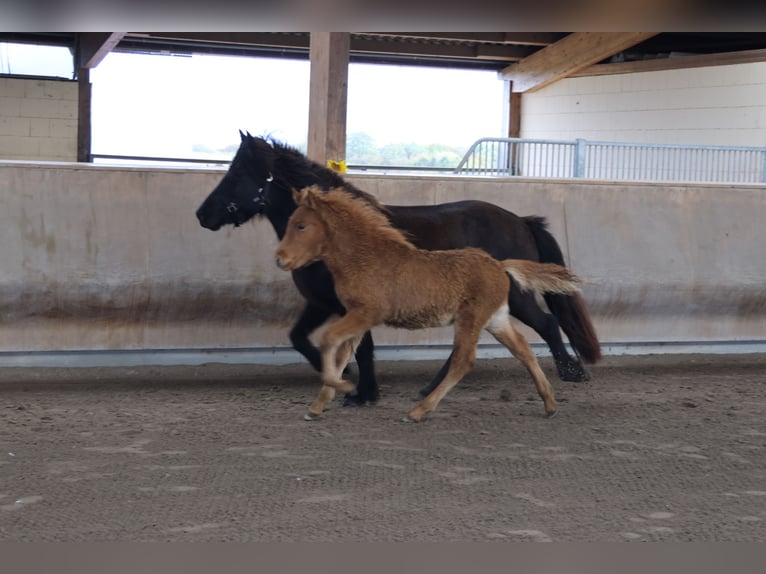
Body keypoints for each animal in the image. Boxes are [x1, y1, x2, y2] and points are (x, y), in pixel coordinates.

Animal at [195, 133, 604, 408]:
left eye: (236, 173)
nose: (202, 214)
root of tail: (520, 220)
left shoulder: (354, 305)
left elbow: (361, 348)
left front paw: (361, 392)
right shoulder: (321, 302)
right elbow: (299, 338)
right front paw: (349, 381)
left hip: (514, 297)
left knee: (547, 323)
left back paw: (572, 373)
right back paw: (431, 388)